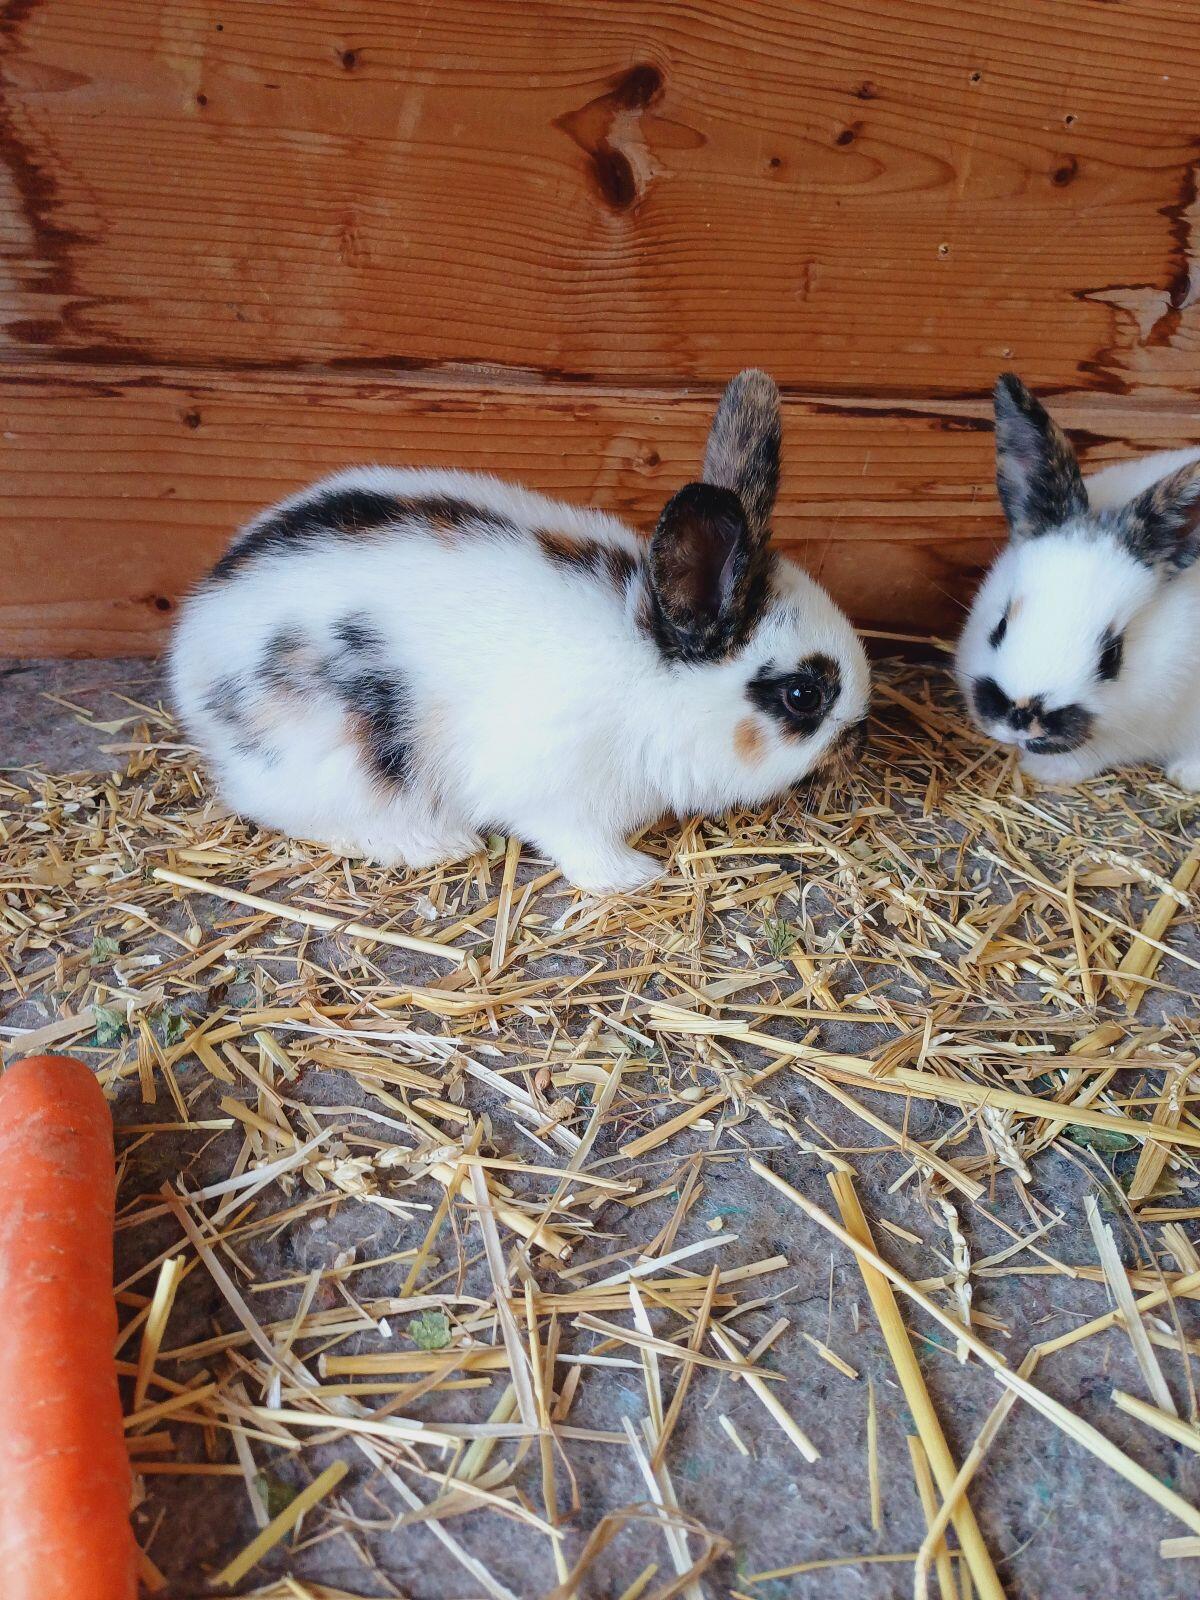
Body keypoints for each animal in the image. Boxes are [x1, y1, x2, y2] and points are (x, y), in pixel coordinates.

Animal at [169, 370, 871, 894]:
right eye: (804, 696)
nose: (859, 737)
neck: (652, 675)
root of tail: (192, 642)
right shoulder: (557, 792)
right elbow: (577, 843)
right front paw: (633, 876)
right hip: (331, 758)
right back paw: (428, 841)